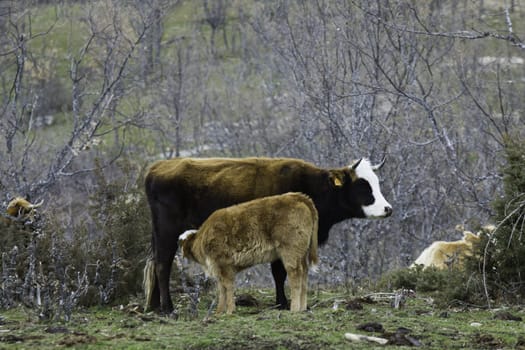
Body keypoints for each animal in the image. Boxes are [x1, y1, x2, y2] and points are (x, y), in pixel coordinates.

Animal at [178, 193, 318, 314]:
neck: (202, 238)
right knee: (304, 274)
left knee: (295, 274)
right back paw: (303, 308)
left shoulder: (224, 265)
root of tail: (297, 196)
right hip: (301, 253)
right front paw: (219, 312)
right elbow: (221, 289)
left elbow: (228, 287)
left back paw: (294, 309)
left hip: (290, 252)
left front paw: (230, 311)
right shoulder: (219, 269)